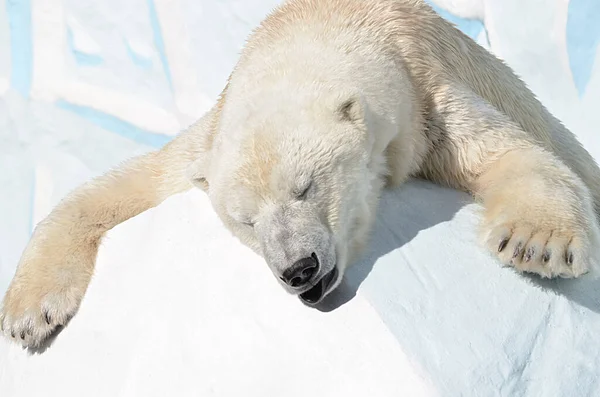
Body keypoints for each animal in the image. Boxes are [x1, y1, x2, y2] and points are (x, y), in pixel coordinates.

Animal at [1, 0, 600, 346]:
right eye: (245, 221)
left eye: (306, 187)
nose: (298, 269)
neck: (315, 21)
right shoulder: (210, 137)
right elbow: (125, 185)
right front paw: (28, 315)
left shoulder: (425, 94)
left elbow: (509, 153)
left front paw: (535, 243)